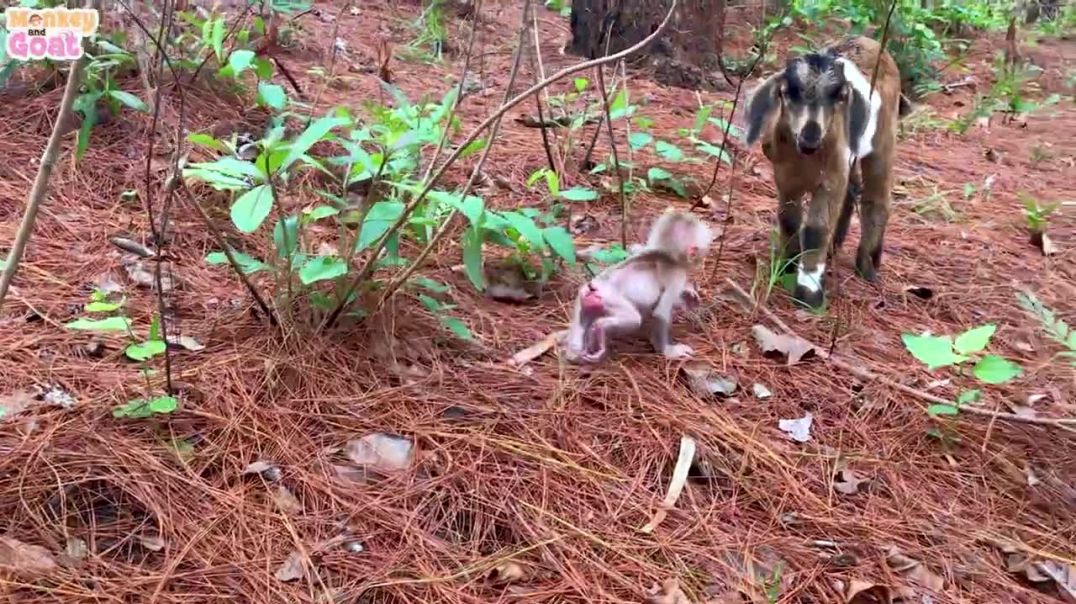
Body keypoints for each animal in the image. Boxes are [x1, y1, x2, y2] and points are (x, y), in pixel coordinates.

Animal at [563, 210, 713, 364]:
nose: (700, 259)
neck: (665, 254)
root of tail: (594, 287)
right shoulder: (677, 276)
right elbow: (660, 313)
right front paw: (669, 351)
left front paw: (689, 293)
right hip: (609, 297)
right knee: (633, 318)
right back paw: (599, 329)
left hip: (583, 297)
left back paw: (574, 352)